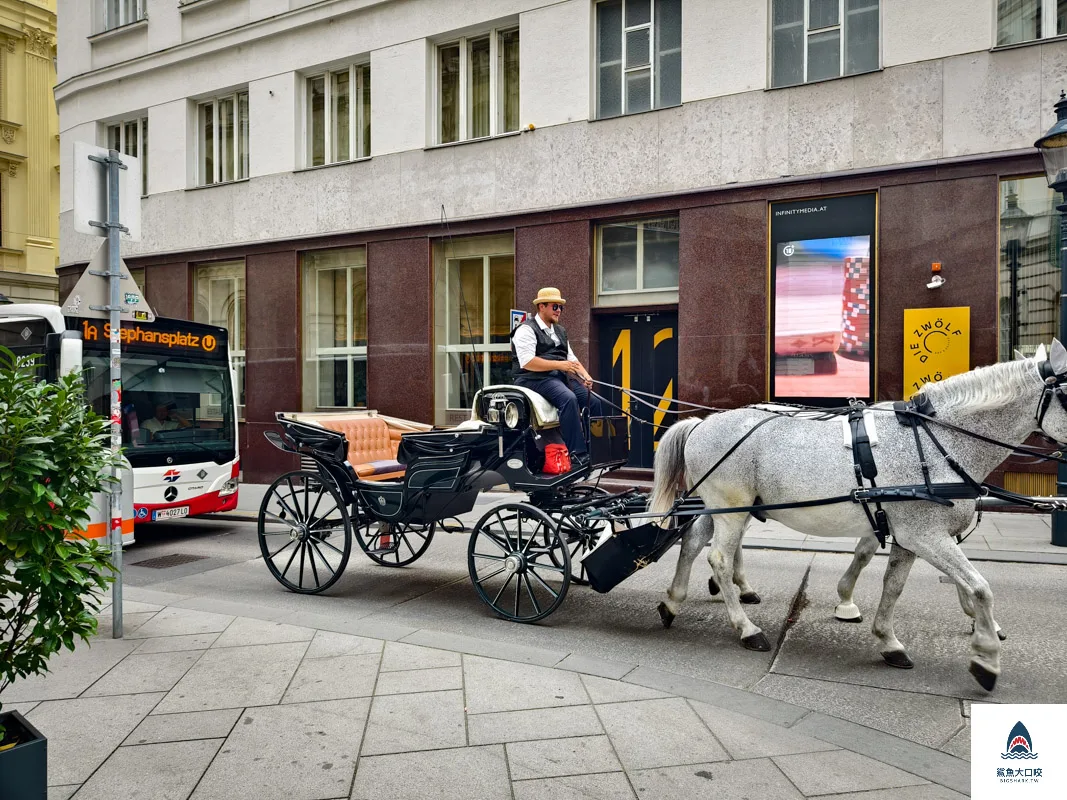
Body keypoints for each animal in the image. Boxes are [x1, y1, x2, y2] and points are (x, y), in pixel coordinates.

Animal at [644, 341, 1067, 691]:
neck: (937, 439)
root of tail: (702, 423)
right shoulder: (926, 535)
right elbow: (980, 587)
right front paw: (986, 657)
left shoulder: (911, 536)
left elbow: (893, 586)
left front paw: (889, 640)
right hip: (732, 508)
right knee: (718, 556)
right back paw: (746, 628)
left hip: (721, 506)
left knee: (694, 542)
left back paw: (673, 601)